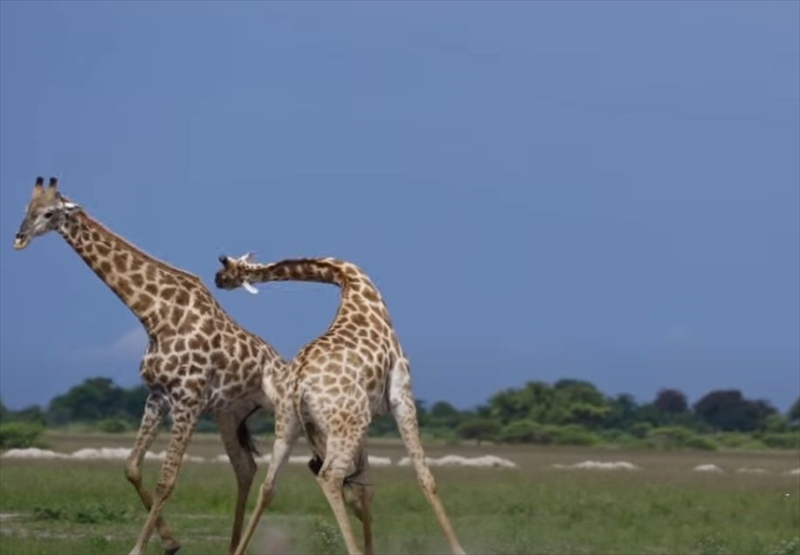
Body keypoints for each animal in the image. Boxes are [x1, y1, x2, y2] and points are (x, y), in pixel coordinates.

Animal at [11, 177, 294, 555]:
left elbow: (167, 480)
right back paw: (234, 548)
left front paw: (140, 548)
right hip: (229, 414)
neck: (154, 316)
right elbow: (132, 466)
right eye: (26, 208)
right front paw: (171, 542)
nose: (19, 237)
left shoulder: (188, 400)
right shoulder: (158, 396)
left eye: (50, 212)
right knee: (245, 468)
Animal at [214, 254, 468, 555]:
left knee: (269, 485)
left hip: (293, 425)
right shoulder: (401, 392)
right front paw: (459, 550)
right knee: (329, 477)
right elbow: (425, 477)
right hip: (348, 424)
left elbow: (366, 488)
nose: (218, 280)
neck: (351, 281)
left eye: (228, 269)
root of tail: (299, 384)